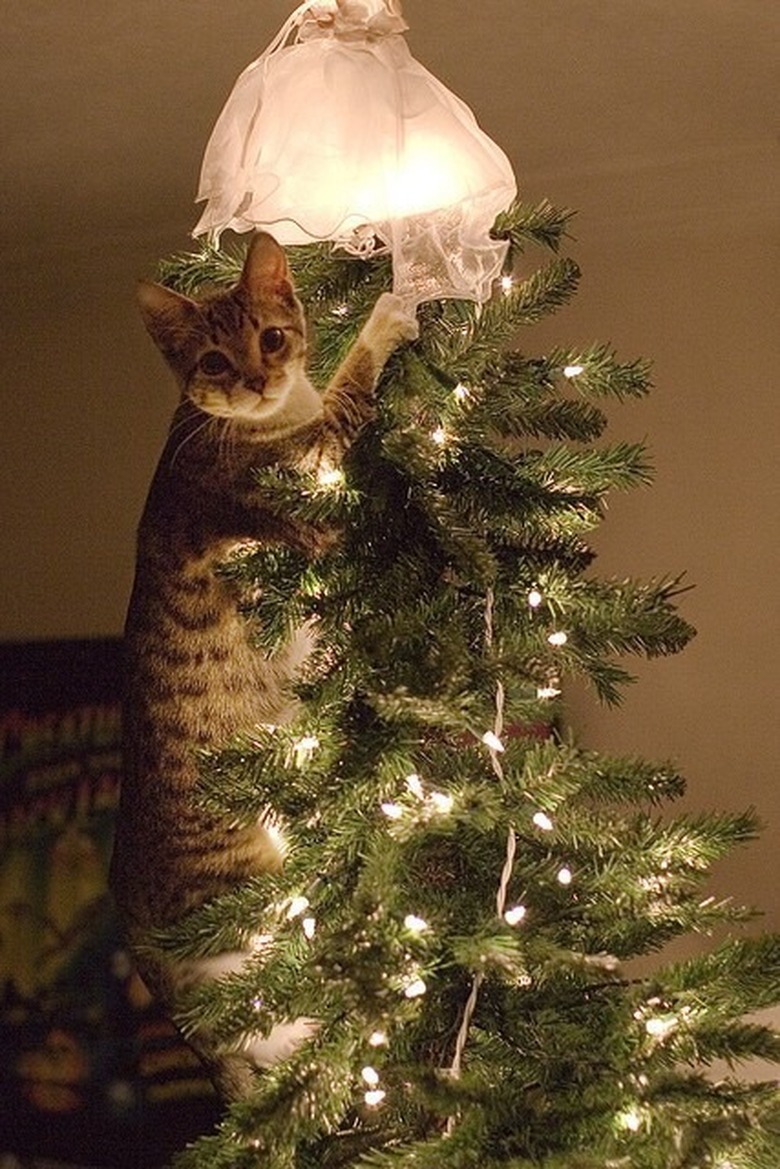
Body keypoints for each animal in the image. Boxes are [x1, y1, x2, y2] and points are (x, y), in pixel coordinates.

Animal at [108, 232, 420, 1098]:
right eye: (214, 359)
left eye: (272, 337)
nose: (254, 378)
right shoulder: (301, 482)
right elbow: (350, 386)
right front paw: (390, 311)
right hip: (247, 898)